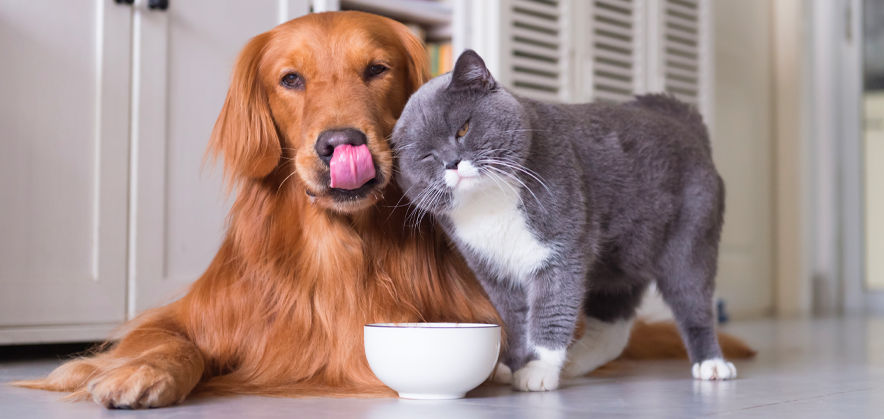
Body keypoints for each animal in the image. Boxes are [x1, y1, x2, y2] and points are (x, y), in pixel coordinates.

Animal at [390, 50, 736, 392]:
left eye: (463, 129)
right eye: (427, 156)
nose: (452, 162)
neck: (488, 203)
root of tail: (688, 127)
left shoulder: (560, 253)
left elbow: (552, 311)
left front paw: (538, 370)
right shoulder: (493, 271)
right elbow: (514, 321)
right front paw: (513, 366)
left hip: (689, 243)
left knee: (693, 302)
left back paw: (712, 364)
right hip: (620, 264)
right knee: (614, 329)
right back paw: (573, 365)